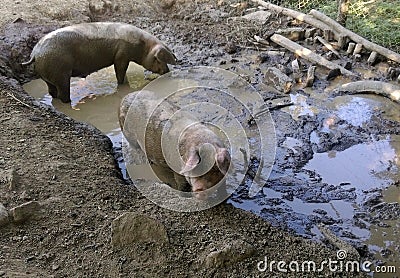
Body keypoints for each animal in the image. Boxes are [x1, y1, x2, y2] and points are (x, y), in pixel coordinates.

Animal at [22, 22, 177, 103]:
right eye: (158, 59)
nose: (167, 71)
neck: (142, 46)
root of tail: (35, 53)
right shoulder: (121, 55)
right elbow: (120, 71)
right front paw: (122, 85)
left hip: (47, 76)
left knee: (51, 91)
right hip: (61, 73)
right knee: (62, 94)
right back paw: (70, 103)